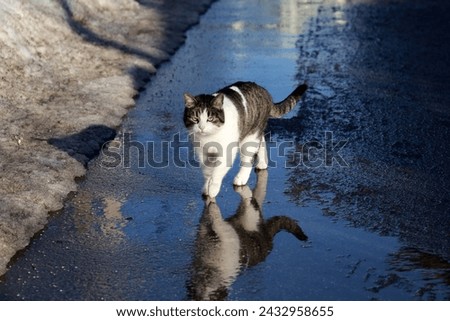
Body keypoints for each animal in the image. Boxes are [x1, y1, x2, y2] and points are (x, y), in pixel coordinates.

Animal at [187, 170, 310, 300]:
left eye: (213, 297)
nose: (200, 296)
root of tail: (268, 239)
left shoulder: (226, 234)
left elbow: (216, 216)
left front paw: (212, 195)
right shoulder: (202, 233)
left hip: (250, 216)